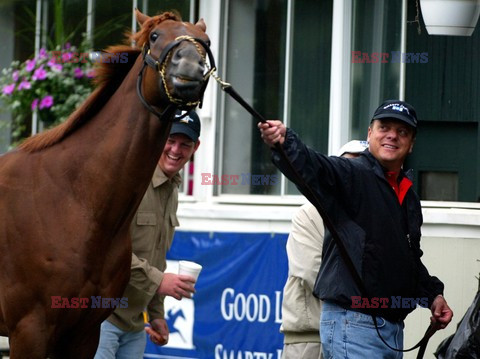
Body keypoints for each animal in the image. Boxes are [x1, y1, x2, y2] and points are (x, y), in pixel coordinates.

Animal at [0, 9, 212, 358]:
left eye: (205, 42)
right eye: (155, 36)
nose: (189, 68)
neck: (74, 200)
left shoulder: (84, 334)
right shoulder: (29, 331)